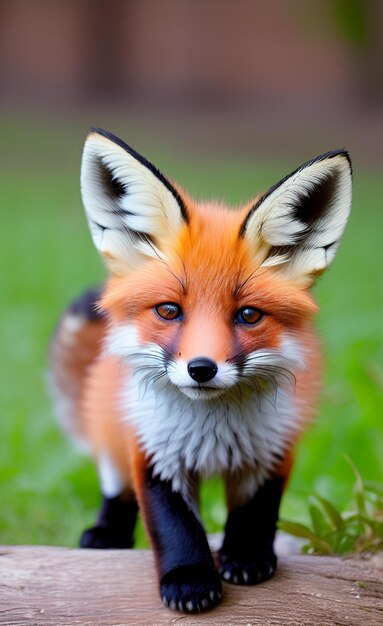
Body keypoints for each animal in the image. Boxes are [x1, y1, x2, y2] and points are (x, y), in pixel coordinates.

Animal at [50, 125, 354, 608]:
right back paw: (105, 534)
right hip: (111, 434)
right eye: (169, 310)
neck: (212, 433)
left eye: (248, 315)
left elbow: (255, 514)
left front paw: (246, 558)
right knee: (115, 489)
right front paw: (189, 578)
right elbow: (174, 526)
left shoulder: (274, 449)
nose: (201, 368)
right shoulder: (152, 450)